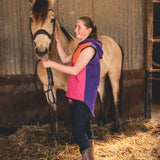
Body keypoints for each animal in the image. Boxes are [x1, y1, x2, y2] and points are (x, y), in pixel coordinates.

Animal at [28, 0, 122, 142]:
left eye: (52, 20)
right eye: (31, 19)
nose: (41, 51)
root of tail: (114, 42)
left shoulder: (70, 89)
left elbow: (73, 111)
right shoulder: (48, 88)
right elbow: (53, 112)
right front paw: (54, 138)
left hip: (114, 75)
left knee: (115, 99)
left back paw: (116, 127)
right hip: (100, 78)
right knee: (103, 96)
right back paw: (102, 122)